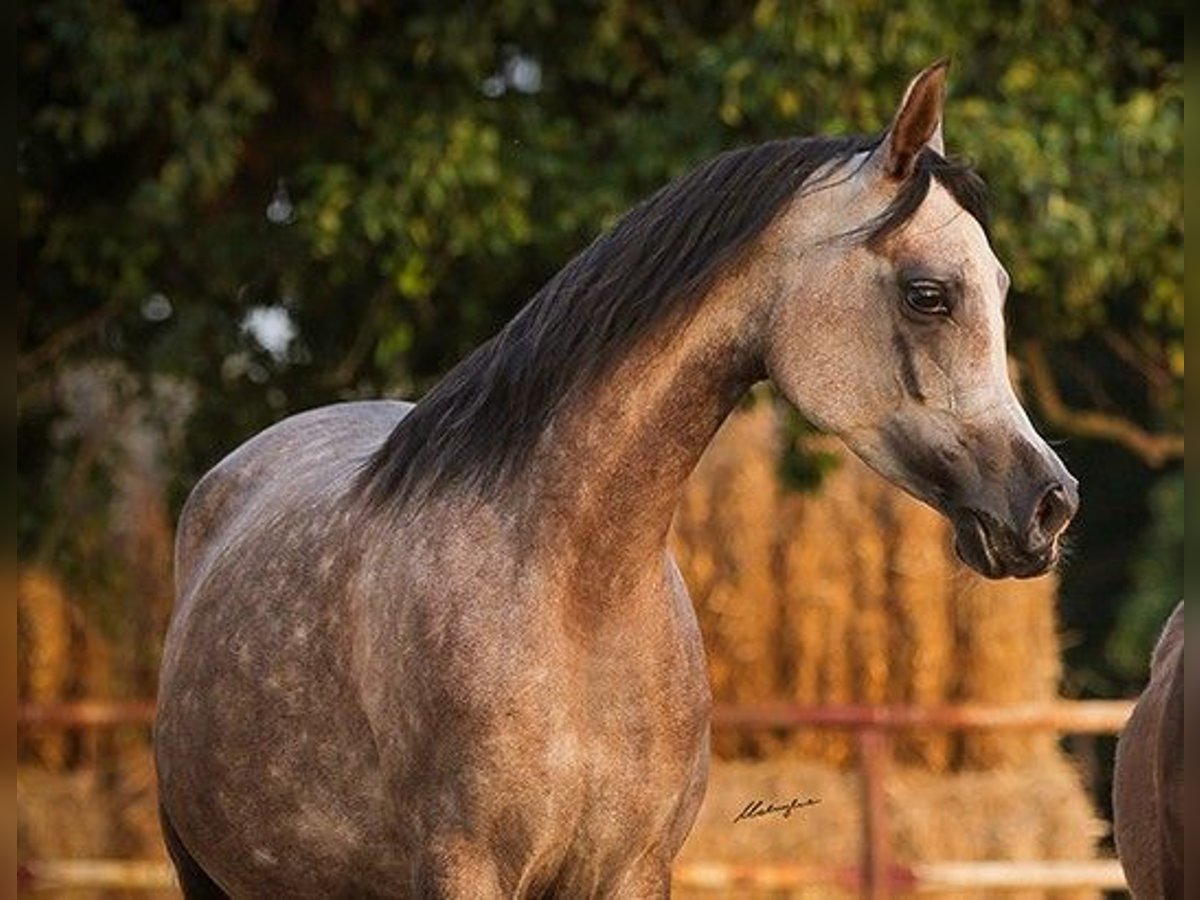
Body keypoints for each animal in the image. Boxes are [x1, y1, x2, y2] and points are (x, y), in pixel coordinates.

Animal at [152, 60, 1080, 897]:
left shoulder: (635, 869)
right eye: (929, 294)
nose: (1050, 504)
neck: (577, 599)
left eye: (999, 287)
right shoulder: (463, 869)